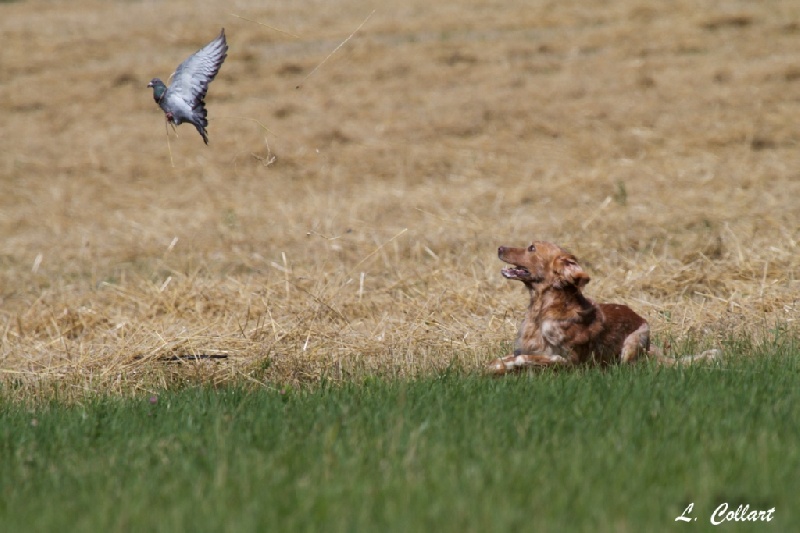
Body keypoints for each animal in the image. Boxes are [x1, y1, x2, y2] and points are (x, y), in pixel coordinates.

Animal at [488, 241, 720, 374]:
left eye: (532, 248)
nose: (499, 248)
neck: (541, 310)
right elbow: (504, 360)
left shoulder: (569, 361)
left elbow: (529, 358)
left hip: (634, 342)